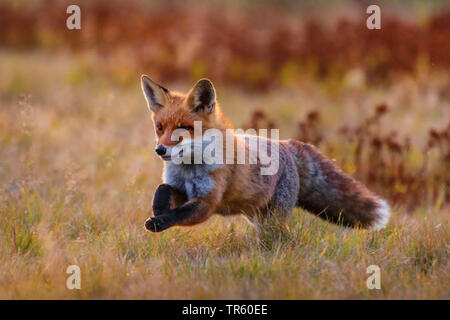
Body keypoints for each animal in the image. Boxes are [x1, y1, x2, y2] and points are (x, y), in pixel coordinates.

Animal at [141, 76, 390, 234]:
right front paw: (159, 207)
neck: (189, 169)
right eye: (160, 128)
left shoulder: (207, 201)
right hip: (256, 216)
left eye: (183, 128)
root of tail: (287, 144)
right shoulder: (182, 189)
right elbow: (162, 188)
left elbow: (179, 215)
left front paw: (160, 221)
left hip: (272, 218)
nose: (160, 150)